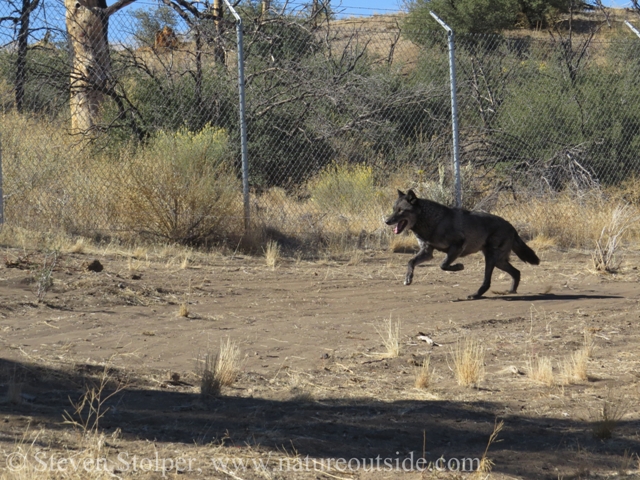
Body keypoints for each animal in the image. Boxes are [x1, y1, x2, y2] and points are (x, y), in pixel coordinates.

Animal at [384, 189, 540, 298]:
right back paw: (511, 291)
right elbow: (410, 262)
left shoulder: (457, 247)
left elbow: (443, 265)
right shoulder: (427, 252)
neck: (432, 221)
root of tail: (511, 226)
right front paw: (408, 279)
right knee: (516, 272)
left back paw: (476, 295)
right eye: (393, 209)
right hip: (499, 261)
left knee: (488, 281)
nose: (386, 221)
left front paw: (459, 267)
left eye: (401, 210)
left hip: (491, 259)